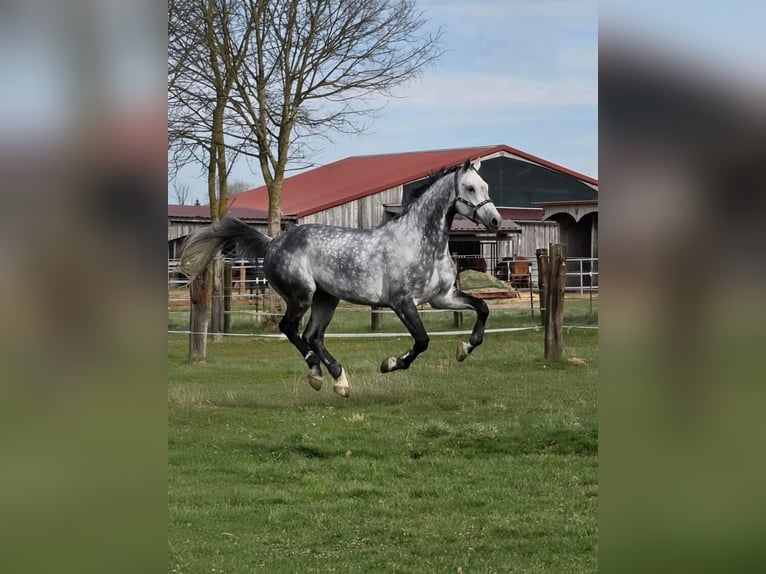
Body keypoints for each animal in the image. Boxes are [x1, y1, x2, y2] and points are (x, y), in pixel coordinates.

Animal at [180, 158, 502, 398]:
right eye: (470, 188)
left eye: (486, 186)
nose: (495, 220)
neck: (421, 242)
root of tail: (273, 243)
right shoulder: (402, 302)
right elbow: (422, 341)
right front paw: (390, 364)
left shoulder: (441, 297)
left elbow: (482, 307)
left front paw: (465, 348)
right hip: (302, 295)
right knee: (290, 329)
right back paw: (317, 375)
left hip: (327, 298)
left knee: (312, 336)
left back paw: (339, 380)